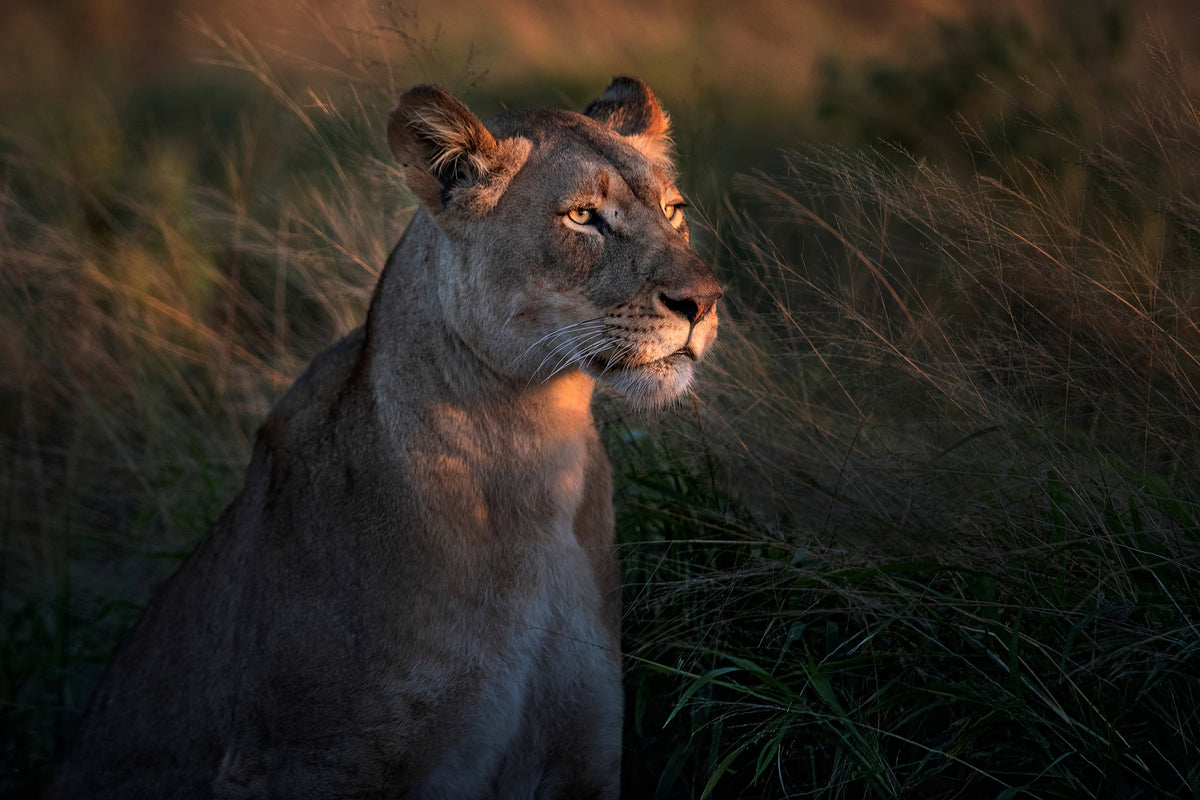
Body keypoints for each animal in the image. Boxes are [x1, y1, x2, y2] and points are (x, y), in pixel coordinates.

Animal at [44, 76, 720, 799]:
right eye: (582, 217)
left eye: (674, 210)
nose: (705, 301)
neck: (535, 444)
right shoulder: (312, 764)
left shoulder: (584, 754)